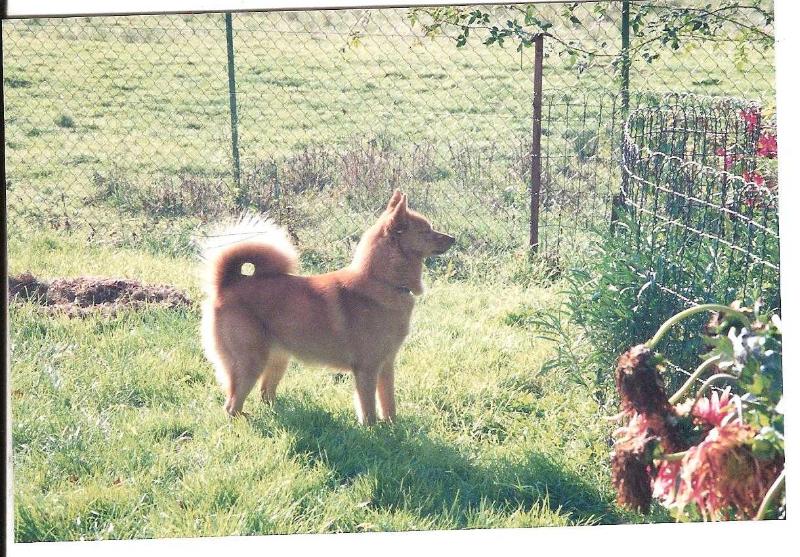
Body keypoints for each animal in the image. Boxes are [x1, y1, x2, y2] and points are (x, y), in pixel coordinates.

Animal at [198, 189, 454, 424]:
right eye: (426, 231)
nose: (453, 238)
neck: (382, 282)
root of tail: (229, 282)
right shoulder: (367, 369)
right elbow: (369, 409)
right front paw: (374, 433)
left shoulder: (386, 365)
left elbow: (388, 403)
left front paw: (392, 428)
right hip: (250, 363)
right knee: (232, 405)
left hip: (277, 360)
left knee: (265, 395)